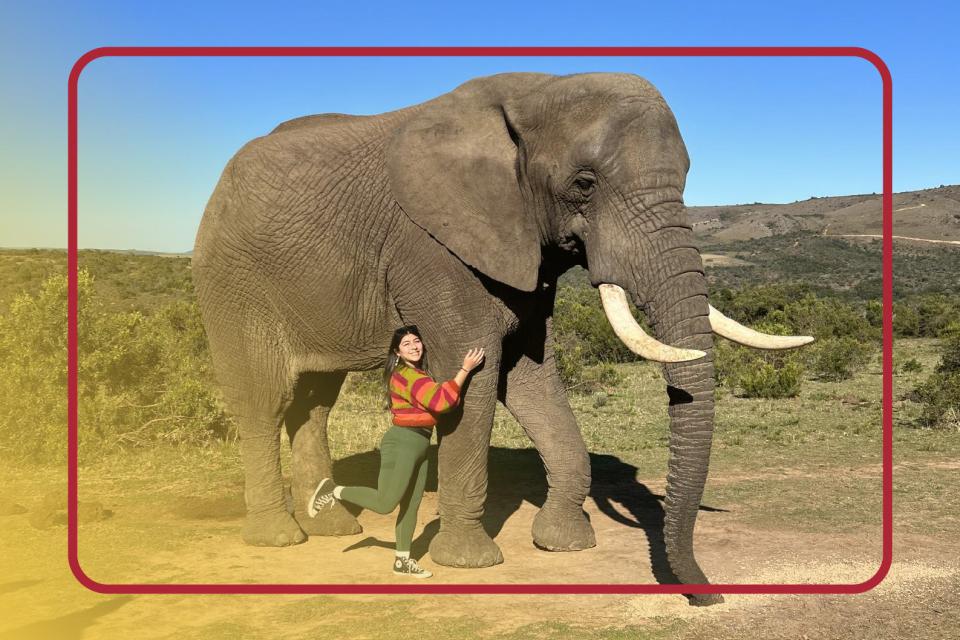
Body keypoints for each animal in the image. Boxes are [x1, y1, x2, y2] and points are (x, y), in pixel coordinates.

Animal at [192, 72, 811, 604]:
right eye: (584, 184)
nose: (708, 596)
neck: (535, 94)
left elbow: (534, 378)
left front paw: (563, 543)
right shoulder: (434, 249)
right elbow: (475, 375)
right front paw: (470, 561)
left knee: (316, 401)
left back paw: (331, 525)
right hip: (232, 281)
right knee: (265, 399)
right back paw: (279, 536)